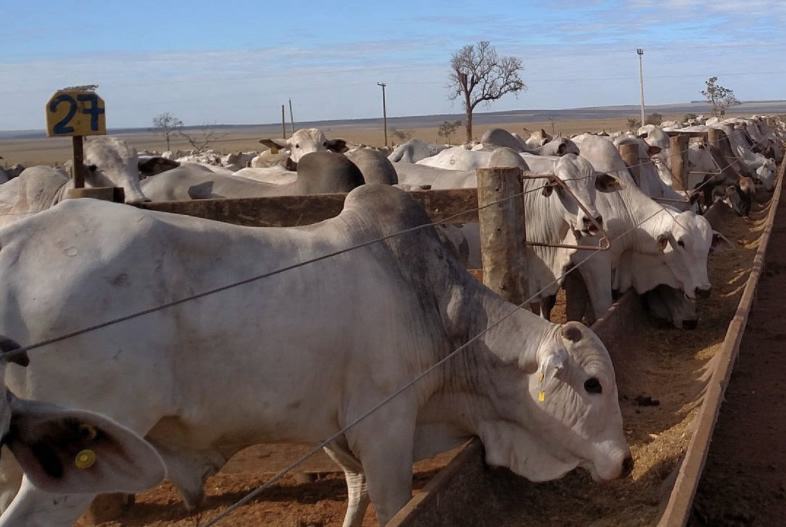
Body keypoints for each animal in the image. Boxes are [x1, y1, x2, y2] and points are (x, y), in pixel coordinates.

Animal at [0, 186, 628, 527]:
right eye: (593, 385)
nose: (623, 464)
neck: (437, 307)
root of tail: (15, 246)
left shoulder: (336, 433)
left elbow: (353, 494)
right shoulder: (385, 429)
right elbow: (391, 505)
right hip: (66, 468)